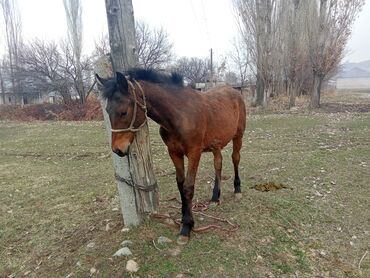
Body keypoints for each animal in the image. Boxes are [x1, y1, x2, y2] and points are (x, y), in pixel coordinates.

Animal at [95, 69, 247, 243]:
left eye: (123, 112)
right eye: (107, 111)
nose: (117, 150)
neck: (179, 114)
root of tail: (234, 91)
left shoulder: (194, 153)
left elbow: (188, 187)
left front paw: (186, 227)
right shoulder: (174, 153)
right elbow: (180, 184)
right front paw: (184, 220)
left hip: (238, 136)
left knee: (235, 158)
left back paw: (237, 190)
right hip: (216, 144)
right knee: (218, 163)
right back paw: (215, 197)